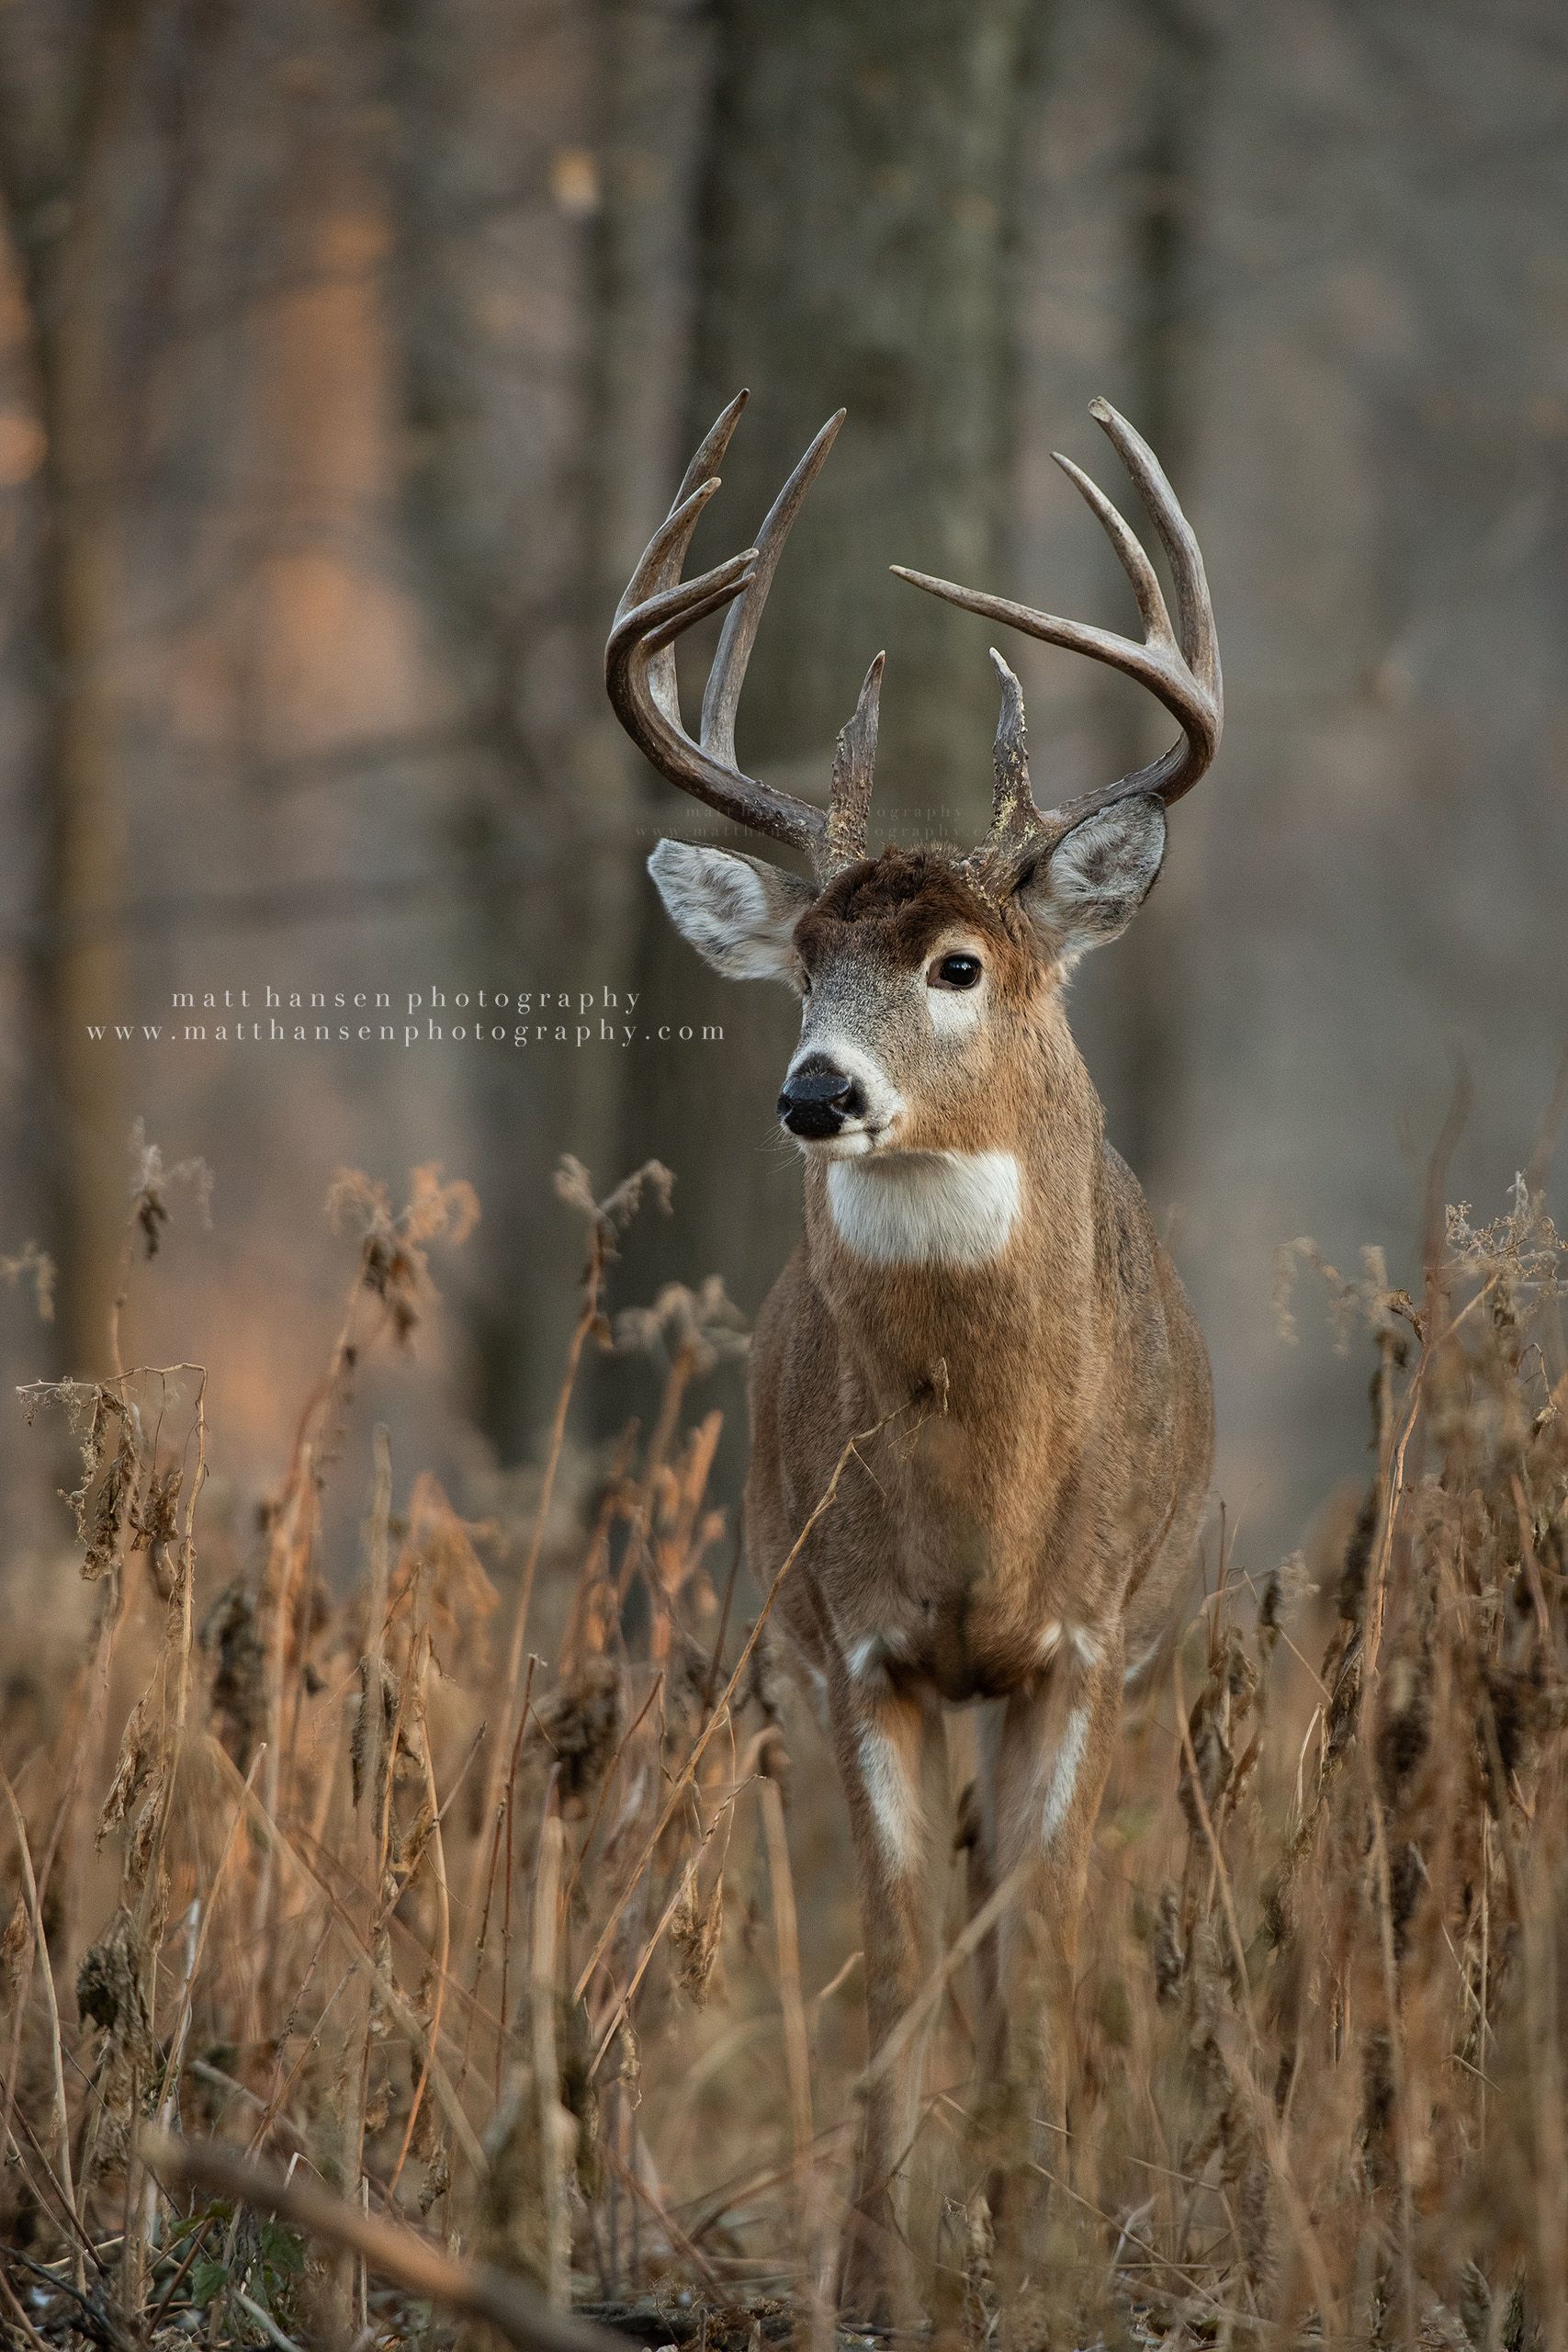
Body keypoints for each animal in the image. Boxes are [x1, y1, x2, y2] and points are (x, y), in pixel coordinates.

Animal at [604, 389, 1220, 2320]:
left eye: (958, 961)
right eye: (802, 956)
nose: (815, 1092)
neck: (980, 1515)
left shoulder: (1080, 1647)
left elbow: (1024, 1946)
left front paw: (1025, 2248)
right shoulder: (853, 1639)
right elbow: (886, 1962)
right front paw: (876, 2274)